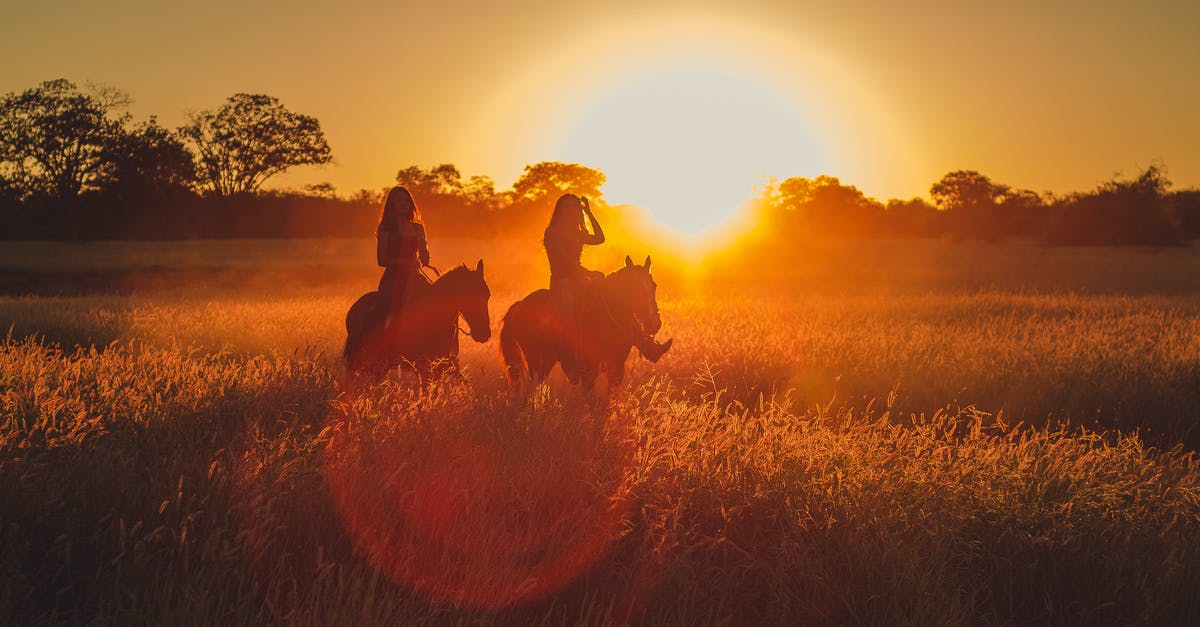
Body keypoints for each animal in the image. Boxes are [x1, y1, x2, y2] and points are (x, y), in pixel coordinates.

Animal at [499, 253, 667, 389]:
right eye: (634, 289)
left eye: (654, 286)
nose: (654, 324)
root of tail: (519, 304)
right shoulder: (588, 371)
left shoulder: (616, 369)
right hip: (536, 361)